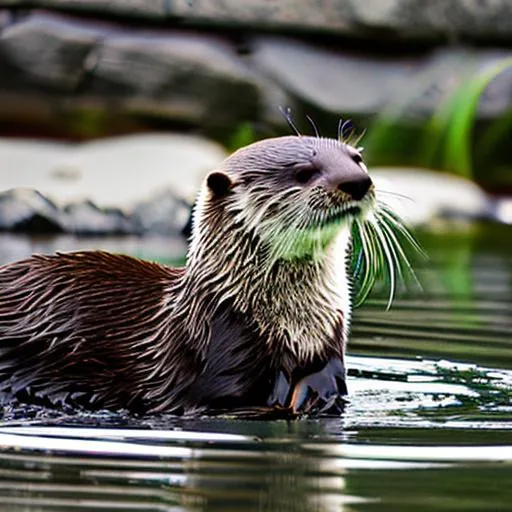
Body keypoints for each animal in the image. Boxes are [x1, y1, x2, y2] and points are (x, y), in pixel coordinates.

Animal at [0, 135, 376, 416]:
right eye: (303, 172)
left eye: (357, 158)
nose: (358, 182)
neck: (292, 325)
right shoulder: (223, 351)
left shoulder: (329, 342)